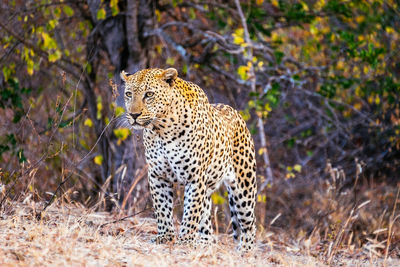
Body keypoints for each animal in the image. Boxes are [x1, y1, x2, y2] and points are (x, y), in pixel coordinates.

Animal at [120, 68, 256, 252]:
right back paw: (204, 244)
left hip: (244, 187)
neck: (161, 130)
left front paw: (184, 241)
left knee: (249, 223)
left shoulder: (195, 178)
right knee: (207, 225)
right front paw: (165, 237)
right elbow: (162, 208)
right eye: (128, 94)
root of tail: (239, 116)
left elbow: (191, 212)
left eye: (149, 94)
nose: (134, 115)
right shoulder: (157, 175)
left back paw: (245, 251)